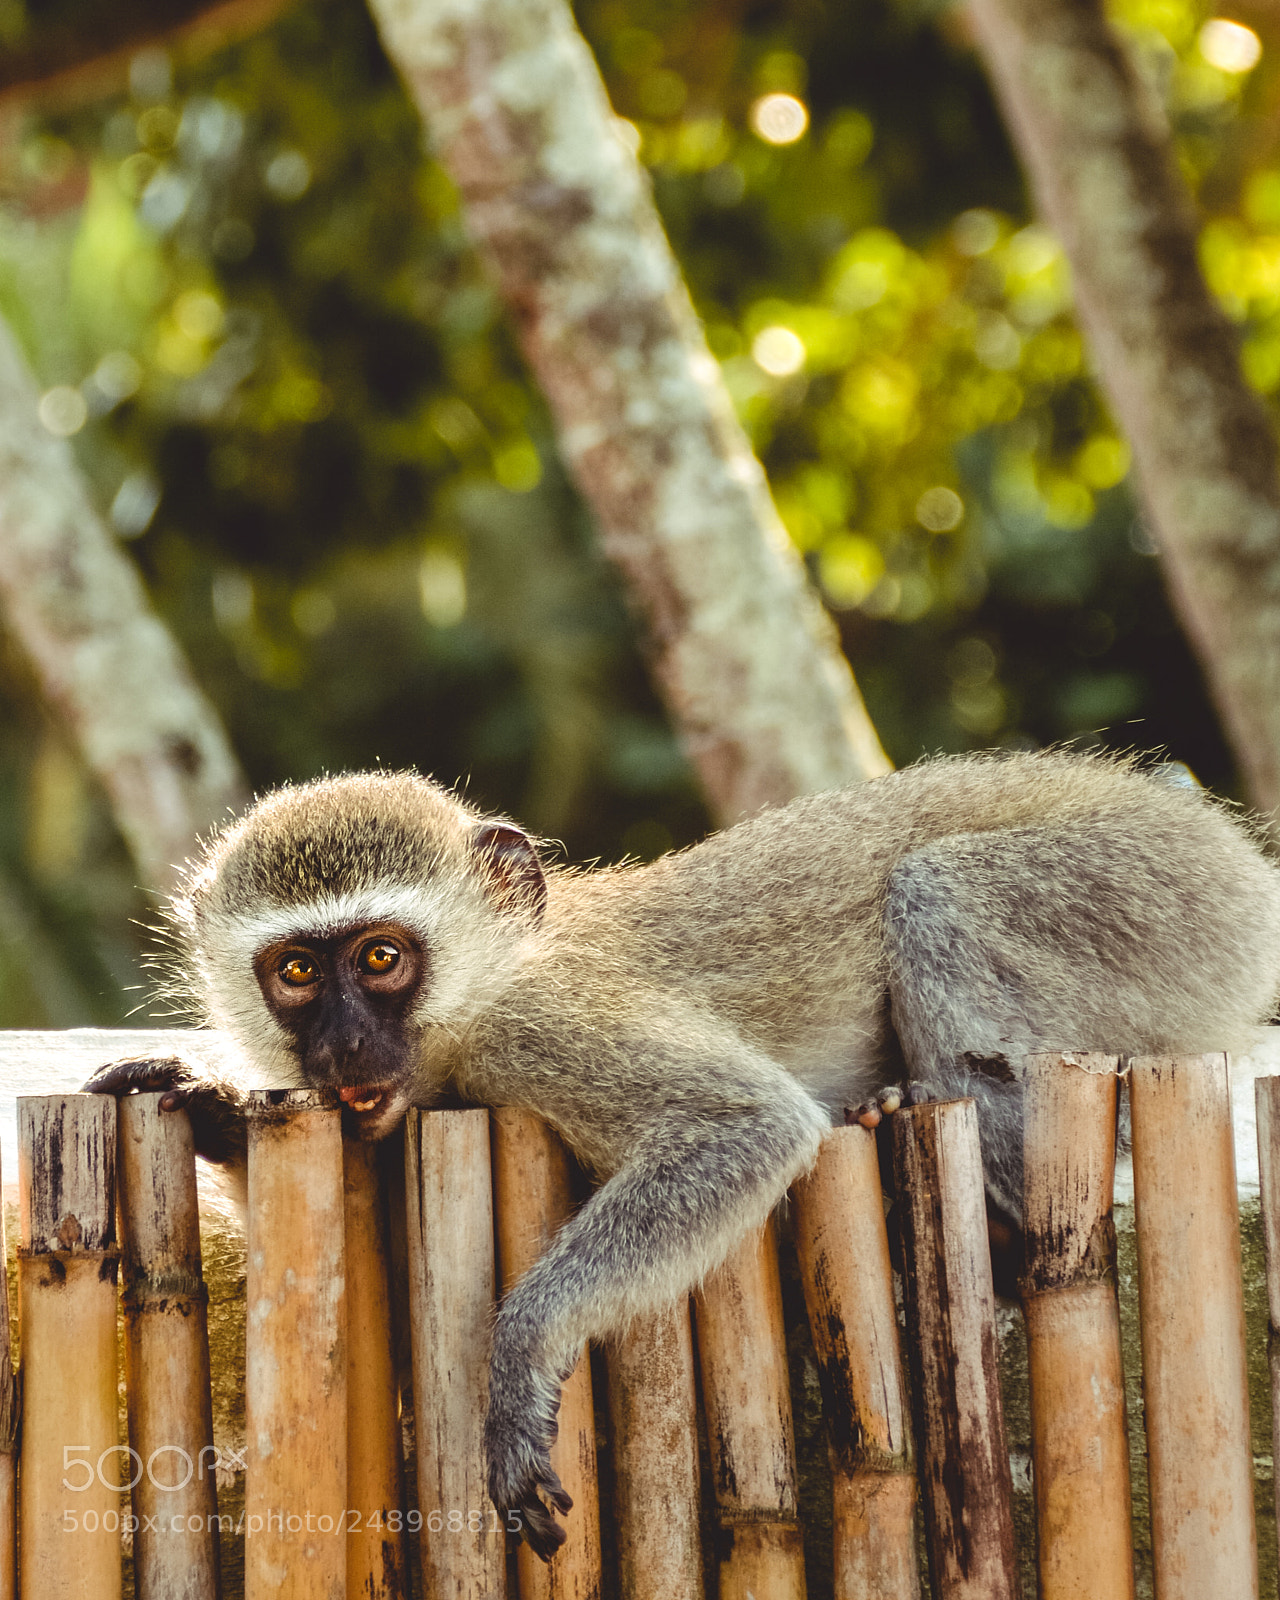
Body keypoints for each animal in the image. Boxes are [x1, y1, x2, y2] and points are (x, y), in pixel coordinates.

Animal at [84, 749, 1280, 1558]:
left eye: (380, 959)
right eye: (296, 971)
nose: (339, 1046)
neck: (488, 987)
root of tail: (1228, 856)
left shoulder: (541, 1032)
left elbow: (749, 1127)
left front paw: (521, 1352)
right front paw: (211, 1109)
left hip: (1159, 900)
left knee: (939, 888)